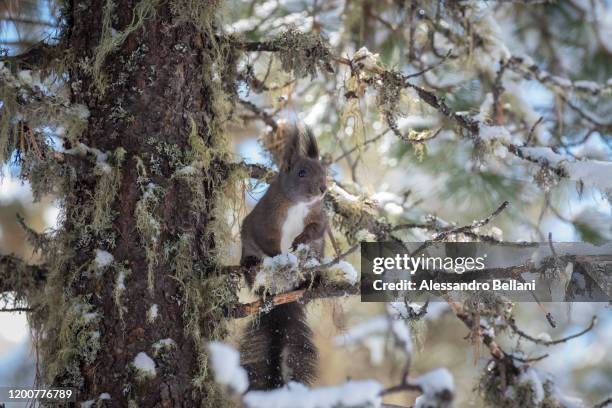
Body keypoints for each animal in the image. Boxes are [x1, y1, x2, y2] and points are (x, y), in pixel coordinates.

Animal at [239, 126, 328, 390]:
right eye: (301, 173)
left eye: (325, 173)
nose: (323, 189)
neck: (298, 205)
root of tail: (283, 296)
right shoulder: (265, 220)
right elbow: (266, 241)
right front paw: (280, 257)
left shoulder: (318, 216)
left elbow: (317, 230)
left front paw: (300, 240)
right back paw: (254, 269)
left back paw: (312, 282)